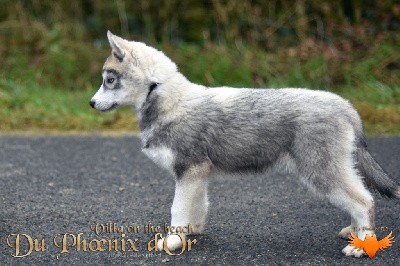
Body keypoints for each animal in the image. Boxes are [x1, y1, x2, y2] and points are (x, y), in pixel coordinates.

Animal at [90, 31, 400, 258]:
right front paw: (191, 232)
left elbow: (177, 209)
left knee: (364, 200)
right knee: (359, 198)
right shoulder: (197, 175)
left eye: (109, 80)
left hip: (321, 171)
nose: (91, 103)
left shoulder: (189, 170)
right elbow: (196, 206)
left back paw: (362, 246)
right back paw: (355, 232)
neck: (170, 101)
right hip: (334, 168)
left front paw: (173, 240)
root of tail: (345, 105)